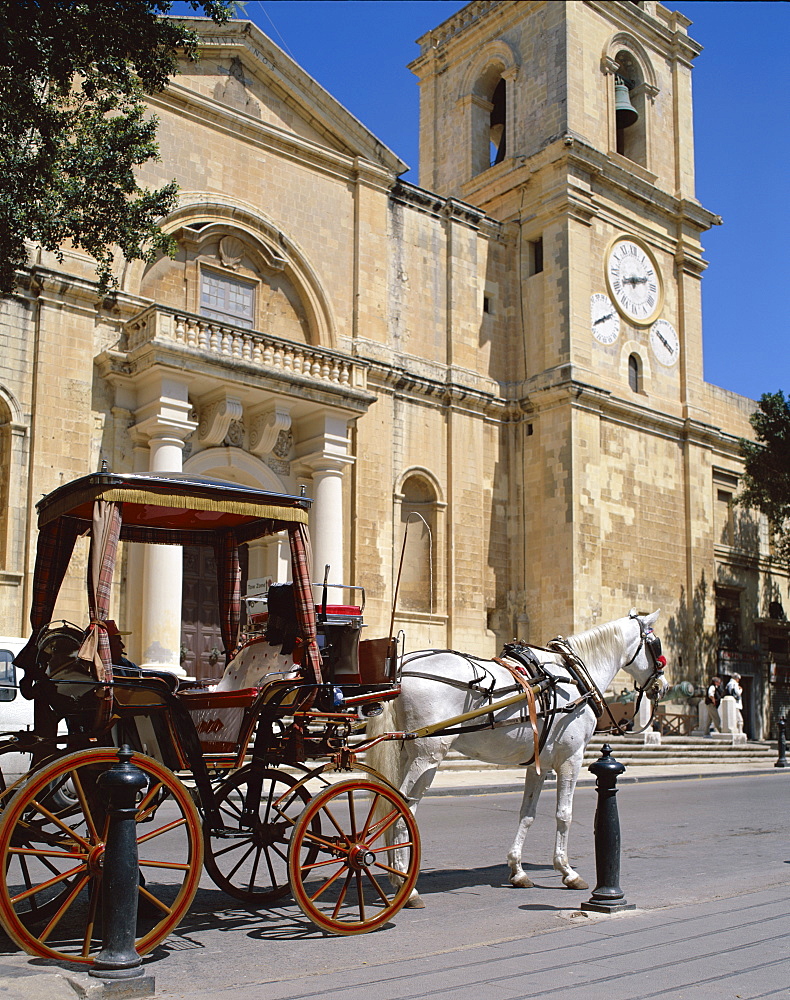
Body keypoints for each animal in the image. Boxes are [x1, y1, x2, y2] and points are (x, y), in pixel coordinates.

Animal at [370, 608, 668, 908]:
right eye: (657, 646)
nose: (662, 686)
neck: (573, 675)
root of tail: (400, 670)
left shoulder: (539, 765)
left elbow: (527, 814)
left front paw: (518, 870)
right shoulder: (571, 759)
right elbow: (564, 814)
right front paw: (567, 871)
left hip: (407, 754)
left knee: (392, 805)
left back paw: (397, 877)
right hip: (428, 756)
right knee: (401, 811)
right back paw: (407, 889)